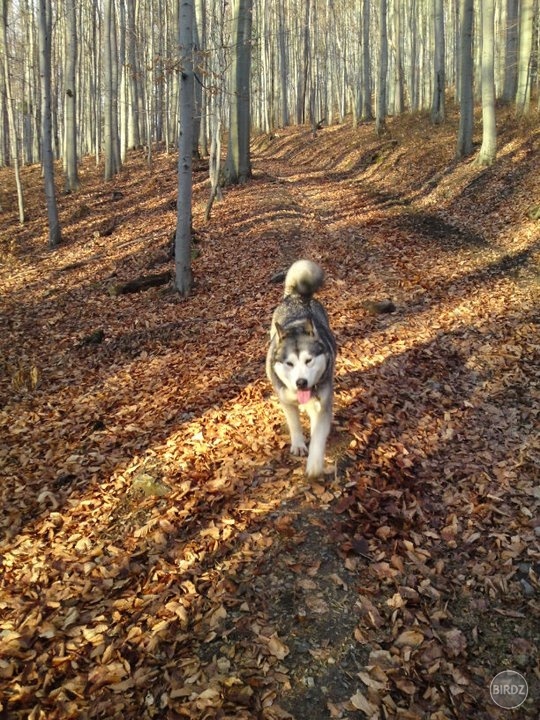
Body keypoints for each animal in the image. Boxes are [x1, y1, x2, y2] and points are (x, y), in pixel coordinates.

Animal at [264, 260, 336, 478]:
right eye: (289, 364)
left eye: (309, 360)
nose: (301, 382)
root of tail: (297, 296)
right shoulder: (286, 400)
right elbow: (293, 422)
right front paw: (298, 445)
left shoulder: (322, 404)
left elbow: (318, 434)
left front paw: (314, 464)